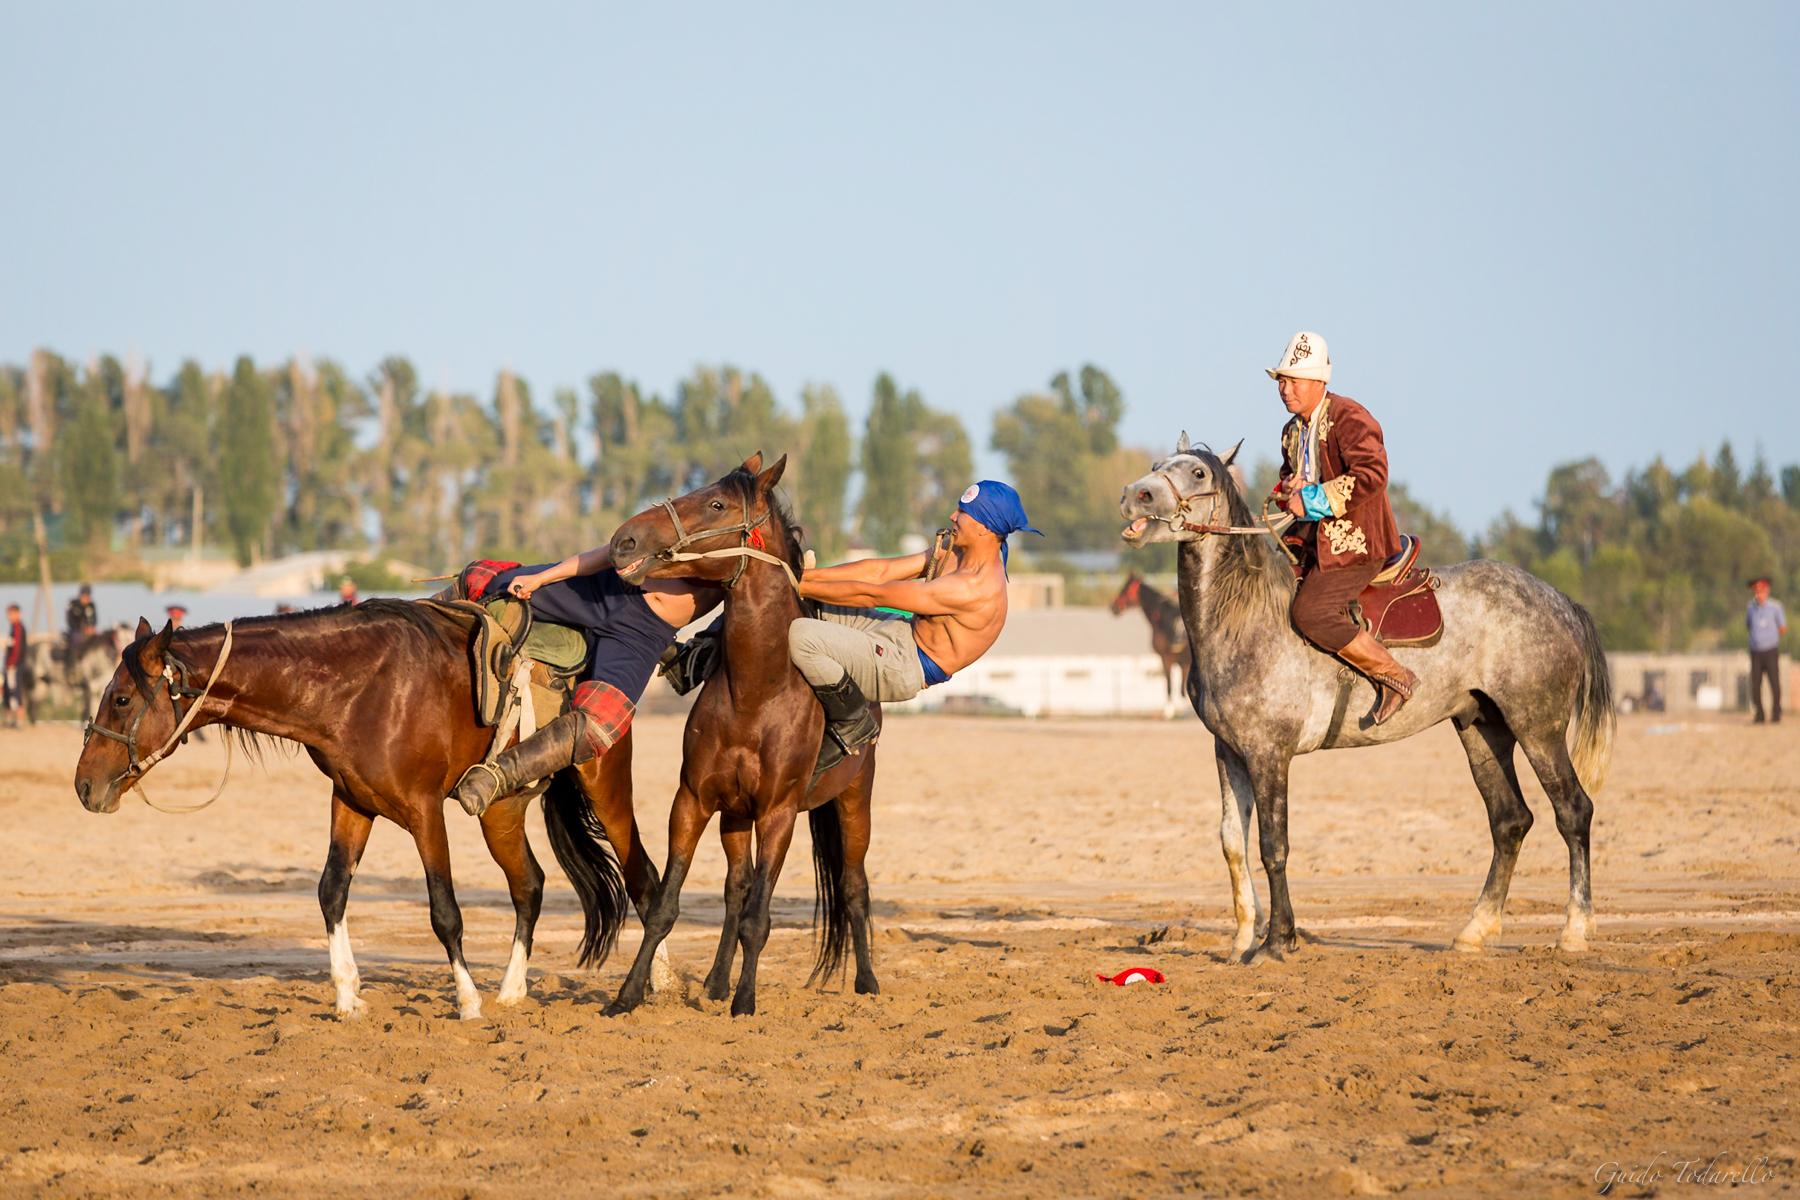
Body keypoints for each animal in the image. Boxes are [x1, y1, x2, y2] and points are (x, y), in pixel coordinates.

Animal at [71, 601, 660, 1019]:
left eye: (121, 699)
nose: (83, 786)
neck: (360, 689)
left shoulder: (425, 813)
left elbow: (445, 912)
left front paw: (466, 1001)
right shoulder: (351, 803)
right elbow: (331, 892)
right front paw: (347, 996)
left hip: (605, 789)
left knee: (643, 879)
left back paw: (653, 984)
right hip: (501, 809)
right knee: (530, 886)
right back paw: (514, 990)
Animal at [602, 454, 881, 1017]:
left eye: (715, 503)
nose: (624, 540)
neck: (756, 692)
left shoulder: (778, 814)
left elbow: (759, 917)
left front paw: (745, 1002)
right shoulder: (693, 801)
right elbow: (666, 907)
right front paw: (628, 996)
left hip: (853, 800)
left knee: (853, 886)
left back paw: (865, 982)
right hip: (734, 816)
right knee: (736, 887)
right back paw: (714, 982)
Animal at [1111, 572, 1190, 717]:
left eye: (1125, 589)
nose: (1114, 607)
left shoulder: (1166, 658)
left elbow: (1170, 684)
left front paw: (1168, 711)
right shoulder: (1183, 663)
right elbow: (1183, 690)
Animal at [1120, 435, 1613, 962]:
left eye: (1197, 473)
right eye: (1157, 465)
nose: (1134, 495)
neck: (1243, 618)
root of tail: (1561, 601)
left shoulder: (1270, 754)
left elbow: (1274, 847)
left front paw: (1278, 940)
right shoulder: (1229, 751)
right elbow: (1233, 842)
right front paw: (1241, 941)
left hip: (1538, 729)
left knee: (1573, 811)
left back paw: (1574, 930)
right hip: (1483, 730)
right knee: (1510, 821)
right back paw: (1475, 930)